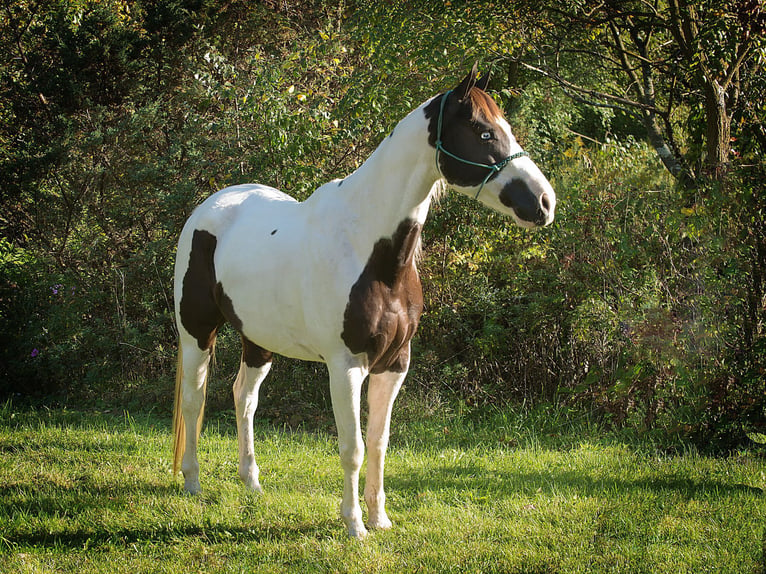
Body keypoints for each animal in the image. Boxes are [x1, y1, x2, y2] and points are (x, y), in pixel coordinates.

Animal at [172, 67, 560, 540]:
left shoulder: (395, 364)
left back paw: (252, 482)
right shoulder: (346, 367)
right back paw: (192, 482)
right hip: (196, 331)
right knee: (194, 400)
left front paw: (380, 518)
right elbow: (352, 447)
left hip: (258, 338)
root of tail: (207, 209)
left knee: (244, 398)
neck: (371, 252)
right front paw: (354, 524)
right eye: (484, 132)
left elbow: (379, 442)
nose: (545, 202)